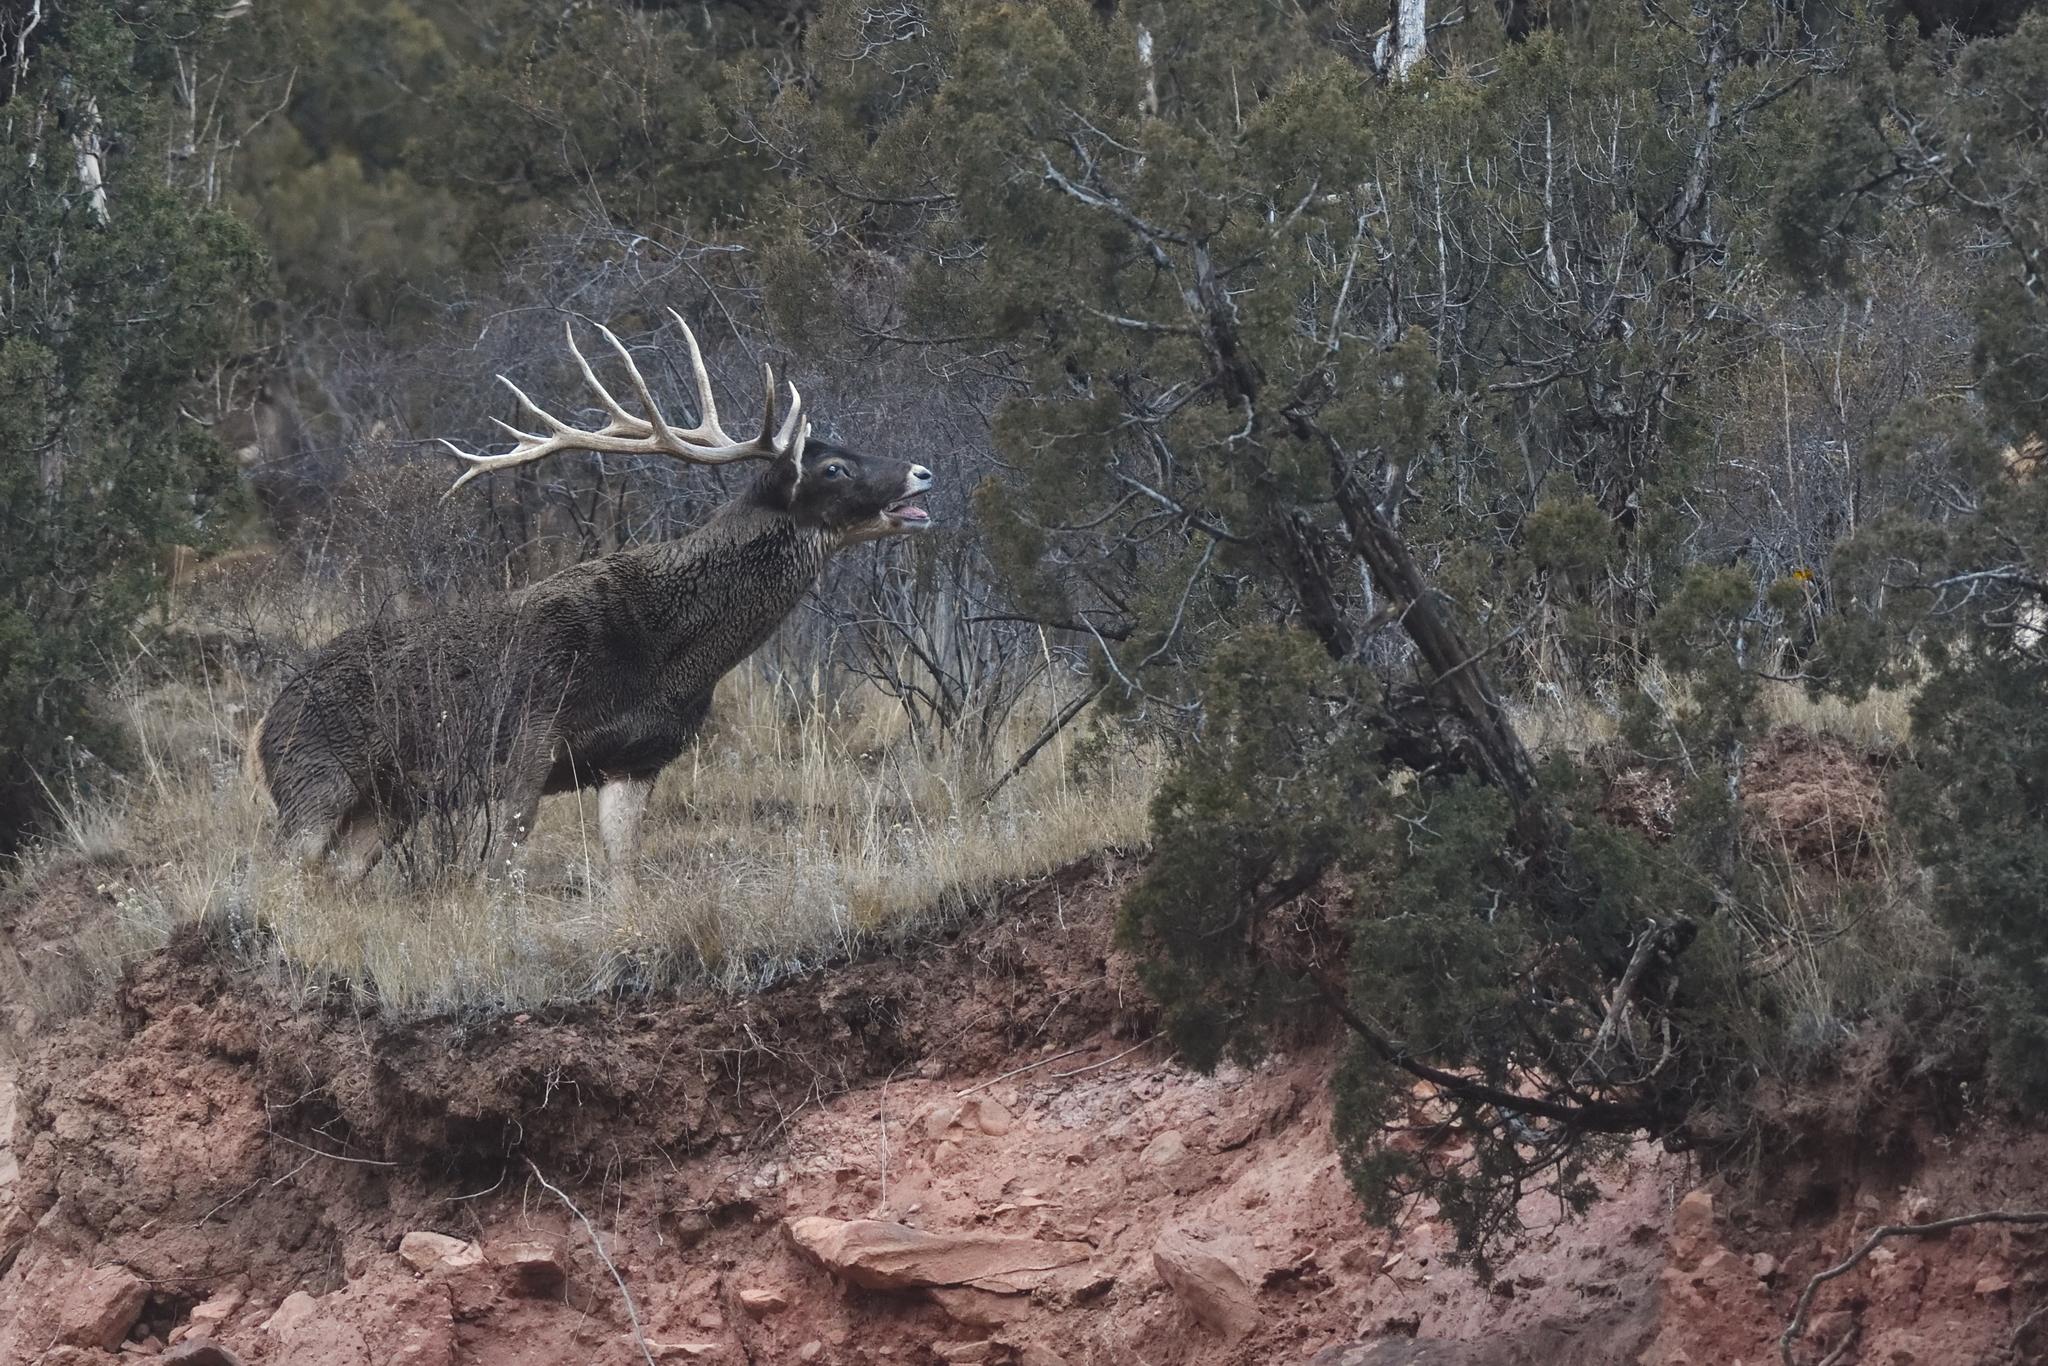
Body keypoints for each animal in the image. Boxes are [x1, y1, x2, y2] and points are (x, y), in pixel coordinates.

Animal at [249, 312, 934, 884]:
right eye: (833, 469)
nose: (923, 471)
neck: (669, 653)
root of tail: (265, 723)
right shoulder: (530, 736)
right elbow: (499, 866)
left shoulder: (637, 758)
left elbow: (624, 871)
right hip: (313, 783)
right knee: (278, 876)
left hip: (389, 804)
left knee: (337, 877)